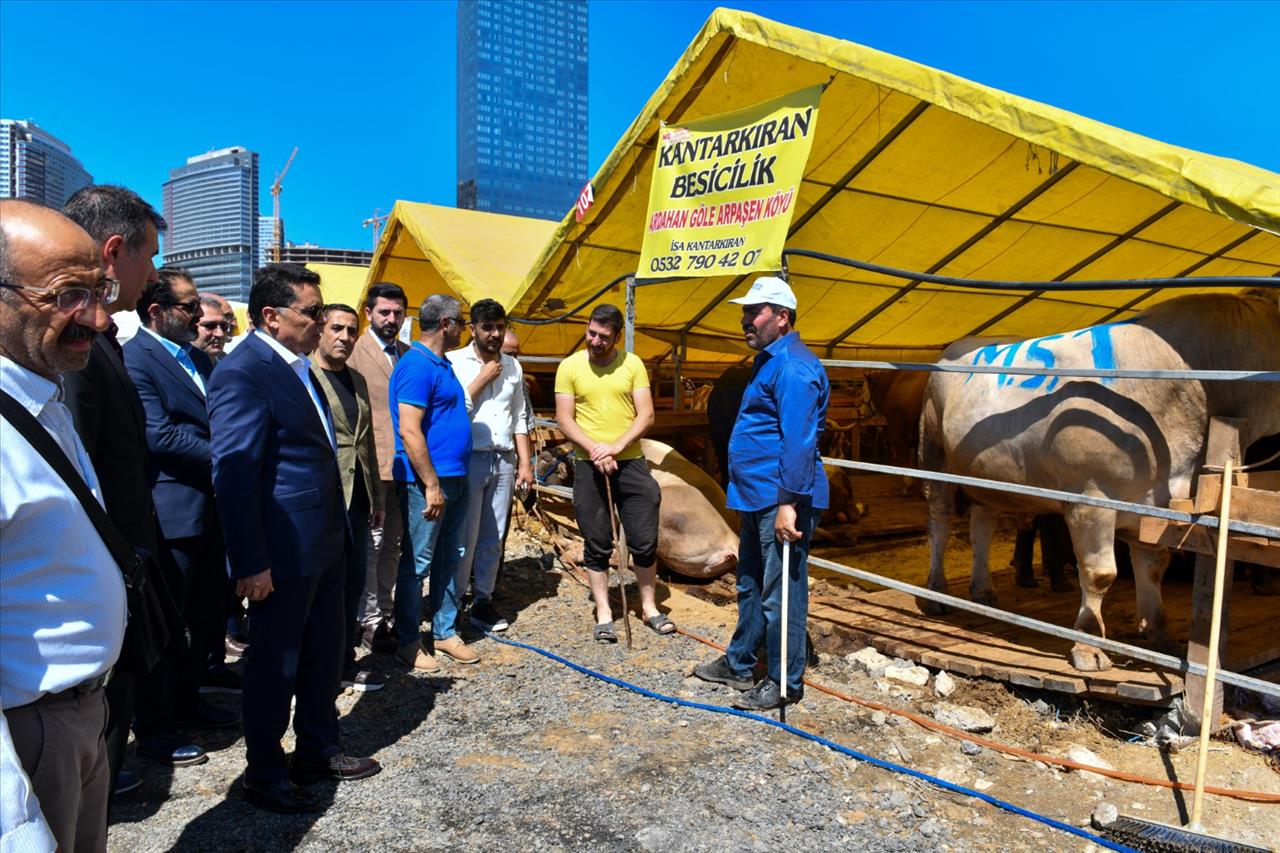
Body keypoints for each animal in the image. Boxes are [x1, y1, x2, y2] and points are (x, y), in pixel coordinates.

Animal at [921, 292, 1280, 671]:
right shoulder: (1090, 498)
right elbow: (1100, 573)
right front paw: (1088, 645)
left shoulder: (1152, 503)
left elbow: (1154, 568)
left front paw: (1159, 636)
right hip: (934, 453)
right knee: (939, 520)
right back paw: (936, 593)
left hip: (983, 471)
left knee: (982, 521)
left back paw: (983, 592)